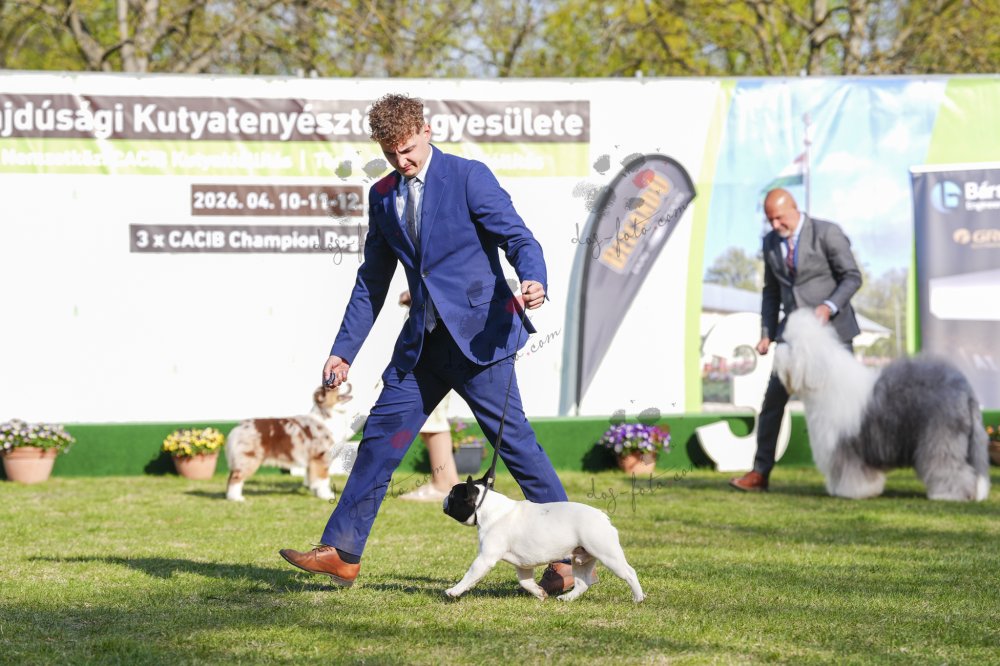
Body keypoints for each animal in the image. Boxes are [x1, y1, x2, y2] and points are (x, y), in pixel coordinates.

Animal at [225, 384, 358, 502]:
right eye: (336, 386)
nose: (349, 382)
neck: (328, 414)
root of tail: (239, 427)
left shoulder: (312, 462)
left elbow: (313, 479)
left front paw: (316, 492)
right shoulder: (320, 457)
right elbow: (323, 479)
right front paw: (326, 495)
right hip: (249, 458)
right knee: (235, 478)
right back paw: (236, 498)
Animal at [441, 477, 645, 602]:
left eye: (452, 495)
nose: (444, 498)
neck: (487, 508)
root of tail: (603, 517)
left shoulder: (485, 558)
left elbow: (470, 575)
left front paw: (454, 591)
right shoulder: (522, 565)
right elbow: (525, 581)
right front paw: (540, 593)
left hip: (607, 553)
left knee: (629, 572)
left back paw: (638, 598)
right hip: (580, 559)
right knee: (582, 583)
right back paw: (567, 598)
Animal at [775, 309, 991, 501]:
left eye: (790, 344)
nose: (776, 347)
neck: (824, 378)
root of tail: (964, 386)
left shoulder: (846, 445)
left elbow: (851, 470)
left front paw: (851, 491)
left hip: (941, 437)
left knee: (949, 467)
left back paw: (949, 494)